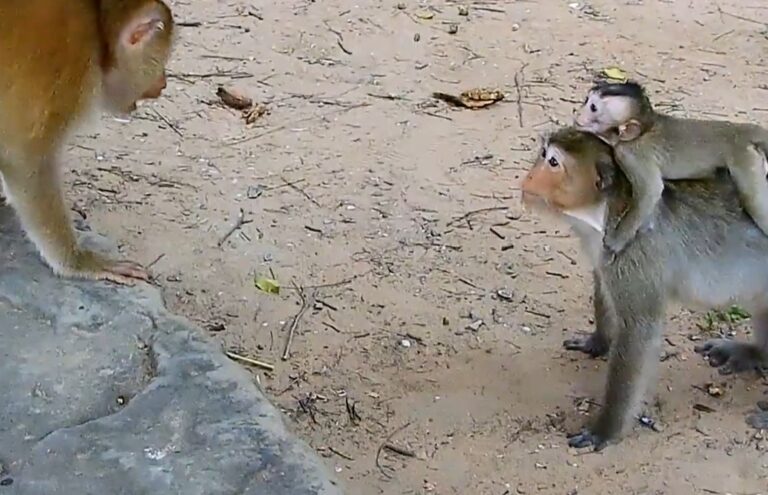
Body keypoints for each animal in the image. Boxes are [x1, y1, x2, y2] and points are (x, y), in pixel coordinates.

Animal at [0, 0, 175, 284]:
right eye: (160, 60)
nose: (163, 83)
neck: (97, 30)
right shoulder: (65, 68)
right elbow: (26, 161)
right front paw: (79, 261)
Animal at [521, 127, 768, 450]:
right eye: (542, 154)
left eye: (552, 162)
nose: (527, 177)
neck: (602, 213)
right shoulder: (606, 253)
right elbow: (604, 290)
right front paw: (598, 342)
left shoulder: (634, 251)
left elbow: (639, 328)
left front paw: (606, 428)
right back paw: (756, 353)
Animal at [573, 81, 768, 255]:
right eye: (587, 100)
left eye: (593, 108)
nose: (578, 113)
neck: (644, 130)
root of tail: (739, 131)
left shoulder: (631, 156)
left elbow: (651, 190)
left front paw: (617, 240)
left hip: (744, 159)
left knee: (753, 200)